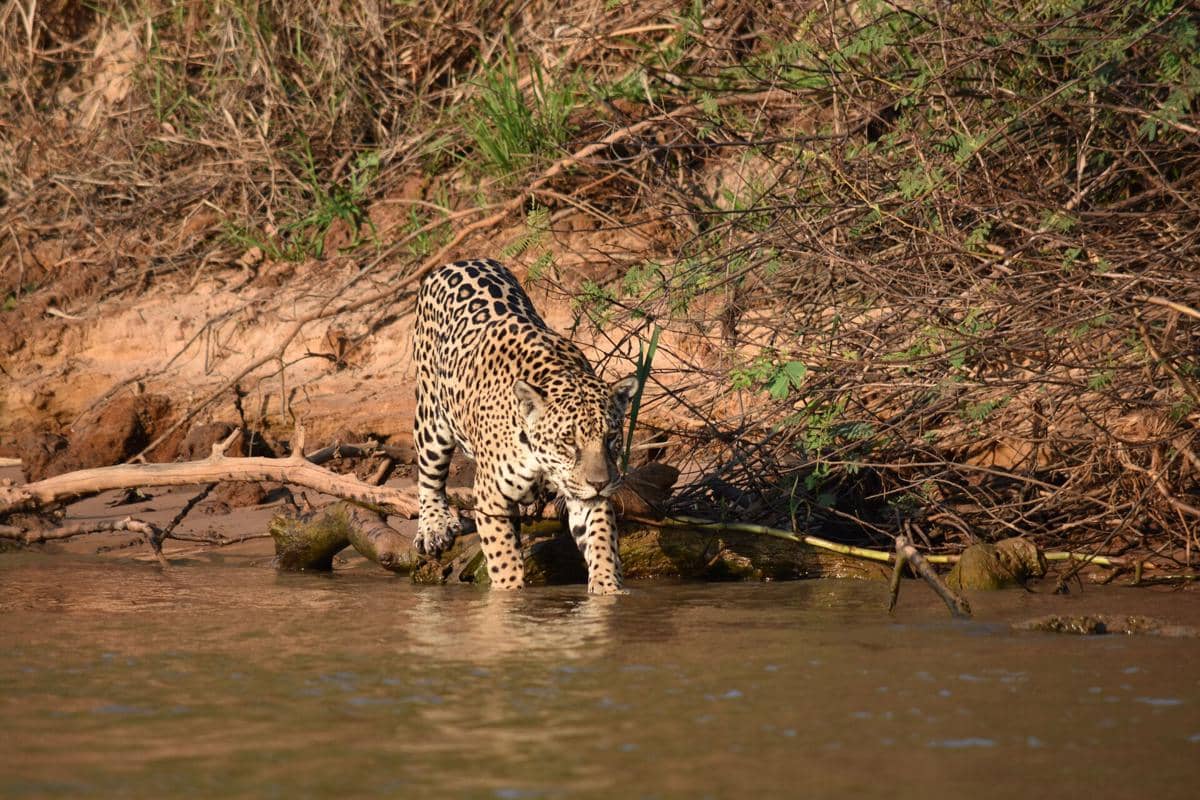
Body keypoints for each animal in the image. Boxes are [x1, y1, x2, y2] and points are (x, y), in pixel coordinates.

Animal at [412, 258, 639, 595]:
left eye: (611, 438)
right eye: (568, 442)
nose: (600, 483)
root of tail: (459, 262)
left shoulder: (585, 496)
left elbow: (601, 541)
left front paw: (608, 588)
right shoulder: (490, 495)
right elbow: (502, 553)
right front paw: (508, 593)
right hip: (431, 416)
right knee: (429, 477)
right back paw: (433, 527)